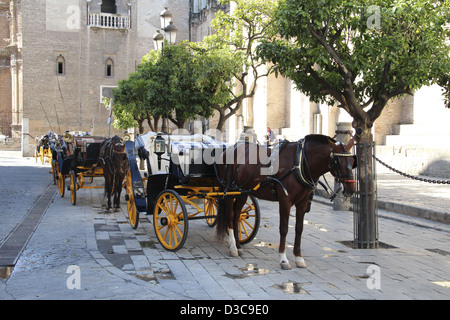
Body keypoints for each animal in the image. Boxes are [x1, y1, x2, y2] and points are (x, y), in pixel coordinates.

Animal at [216, 134, 356, 268]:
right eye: (338, 161)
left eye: (353, 161)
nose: (351, 188)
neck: (300, 162)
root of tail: (230, 148)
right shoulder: (285, 201)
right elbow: (284, 228)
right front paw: (283, 259)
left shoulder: (303, 203)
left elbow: (299, 228)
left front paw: (299, 258)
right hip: (230, 190)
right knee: (230, 215)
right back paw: (233, 247)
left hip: (243, 191)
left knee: (237, 215)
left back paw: (239, 246)